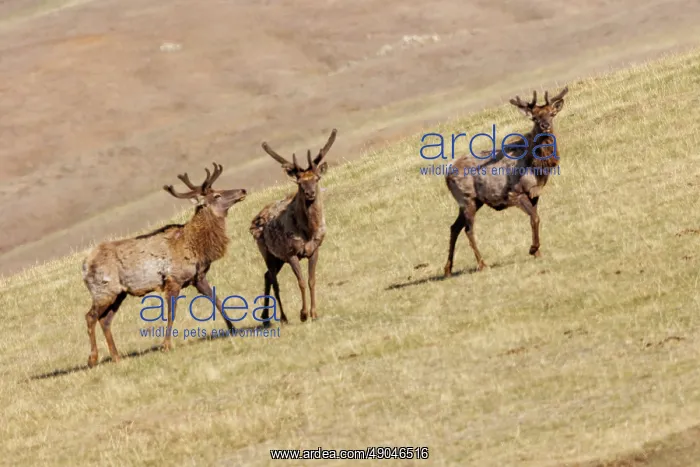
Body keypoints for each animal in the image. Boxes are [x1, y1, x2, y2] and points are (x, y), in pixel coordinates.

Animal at [81, 163, 247, 368]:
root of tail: (84, 266)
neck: (196, 245)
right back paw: (92, 358)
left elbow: (217, 299)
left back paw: (117, 357)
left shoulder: (198, 277)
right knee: (90, 316)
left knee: (105, 320)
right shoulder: (173, 279)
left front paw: (233, 328)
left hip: (118, 293)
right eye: (217, 195)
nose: (242, 190)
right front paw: (166, 345)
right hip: (103, 290)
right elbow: (171, 312)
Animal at [249, 129, 337, 326]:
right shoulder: (290, 253)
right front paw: (303, 314)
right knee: (273, 279)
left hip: (278, 258)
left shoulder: (315, 249)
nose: (310, 193)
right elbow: (301, 282)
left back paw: (265, 318)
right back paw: (282, 317)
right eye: (299, 182)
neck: (308, 230)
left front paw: (314, 312)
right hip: (267, 252)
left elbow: (312, 280)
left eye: (317, 178)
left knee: (267, 276)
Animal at [443, 86, 569, 277]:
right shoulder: (515, 192)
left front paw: (537, 252)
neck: (537, 166)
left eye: (552, 114)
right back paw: (482, 264)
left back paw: (448, 269)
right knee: (468, 229)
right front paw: (533, 249)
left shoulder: (535, 193)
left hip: (471, 202)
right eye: (534, 117)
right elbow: (535, 217)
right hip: (467, 198)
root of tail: (447, 172)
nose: (545, 125)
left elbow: (535, 218)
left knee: (454, 227)